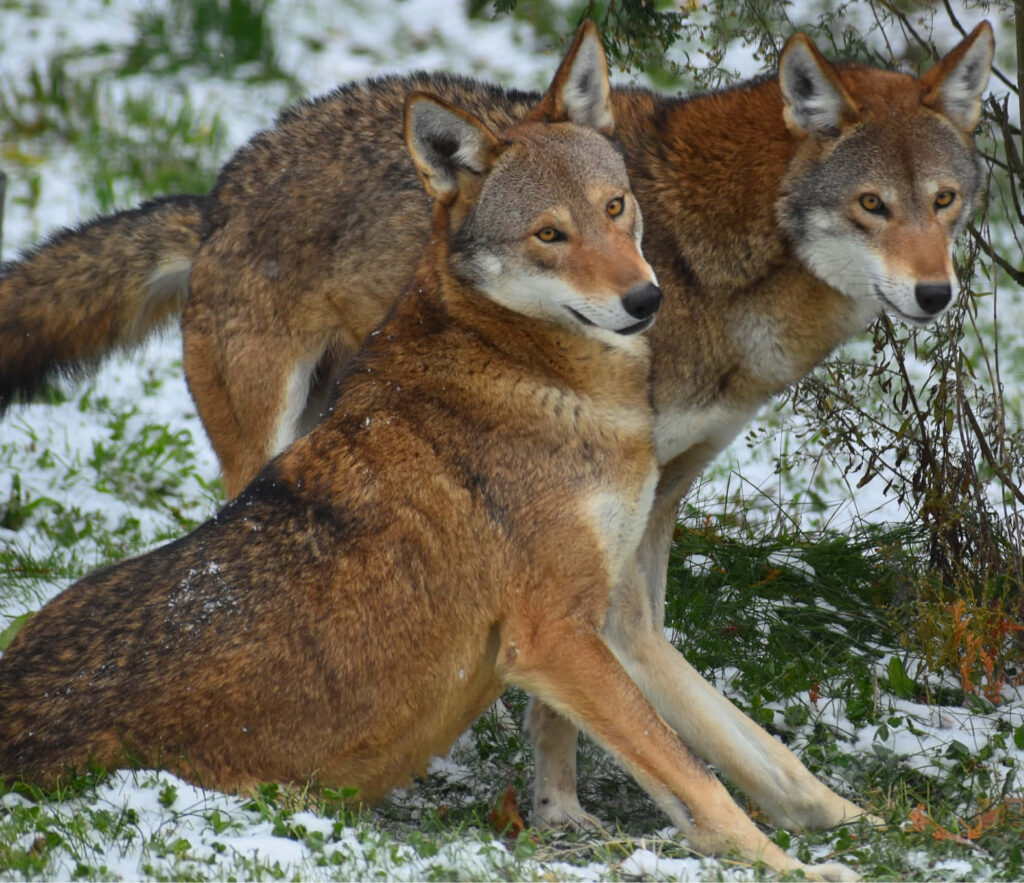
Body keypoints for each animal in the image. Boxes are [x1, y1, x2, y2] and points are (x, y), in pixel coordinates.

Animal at [0, 19, 993, 837]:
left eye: (944, 201)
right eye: (872, 205)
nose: (935, 293)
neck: (717, 261)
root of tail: (218, 194)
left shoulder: (652, 503)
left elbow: (684, 702)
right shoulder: (588, 561)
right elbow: (608, 701)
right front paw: (562, 812)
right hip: (271, 451)